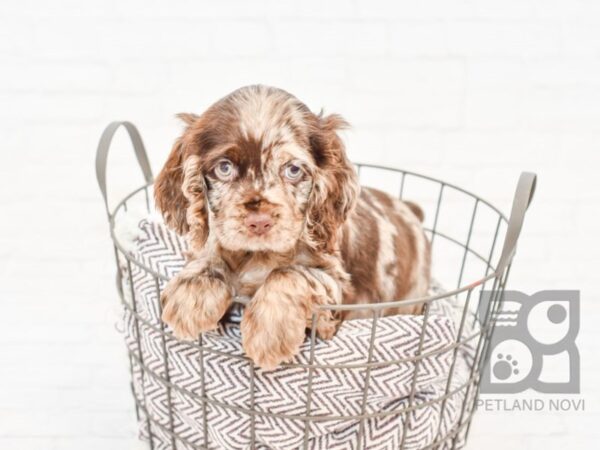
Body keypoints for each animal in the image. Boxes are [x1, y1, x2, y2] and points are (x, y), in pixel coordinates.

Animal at [152, 84, 428, 370]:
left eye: (293, 170)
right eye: (224, 168)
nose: (259, 222)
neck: (258, 256)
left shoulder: (334, 292)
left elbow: (290, 274)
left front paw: (268, 336)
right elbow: (212, 254)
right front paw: (190, 295)